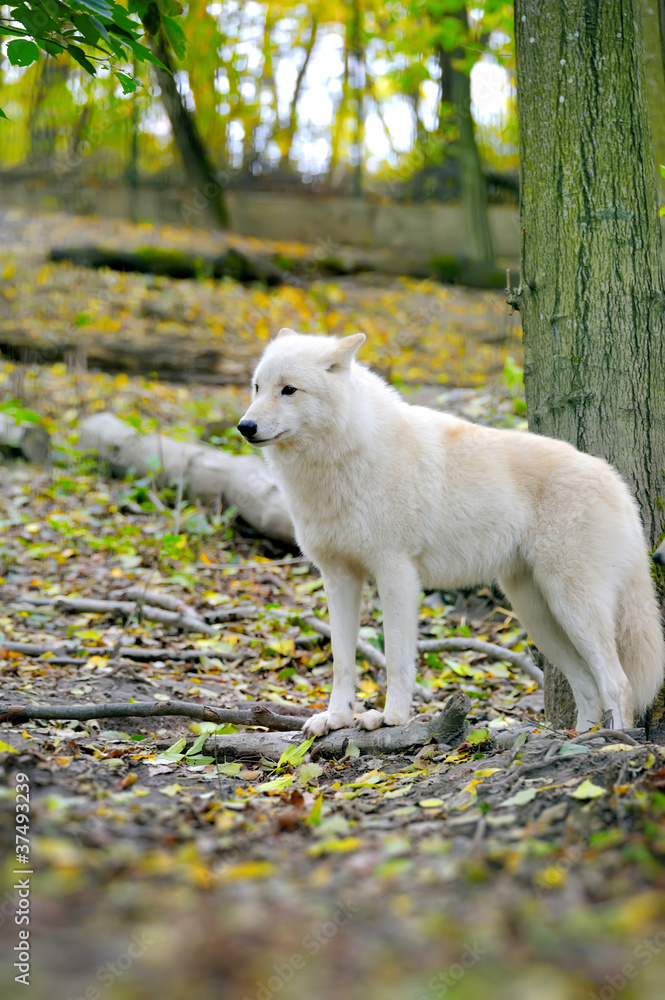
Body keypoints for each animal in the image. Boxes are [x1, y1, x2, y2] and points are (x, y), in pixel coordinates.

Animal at [238, 330, 664, 737]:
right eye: (257, 387)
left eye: (288, 389)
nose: (245, 427)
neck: (343, 457)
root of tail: (617, 482)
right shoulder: (338, 576)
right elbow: (342, 660)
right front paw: (335, 719)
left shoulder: (396, 574)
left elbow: (396, 659)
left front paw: (390, 718)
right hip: (538, 614)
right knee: (588, 687)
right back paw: (578, 738)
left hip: (572, 607)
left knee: (618, 684)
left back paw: (615, 740)